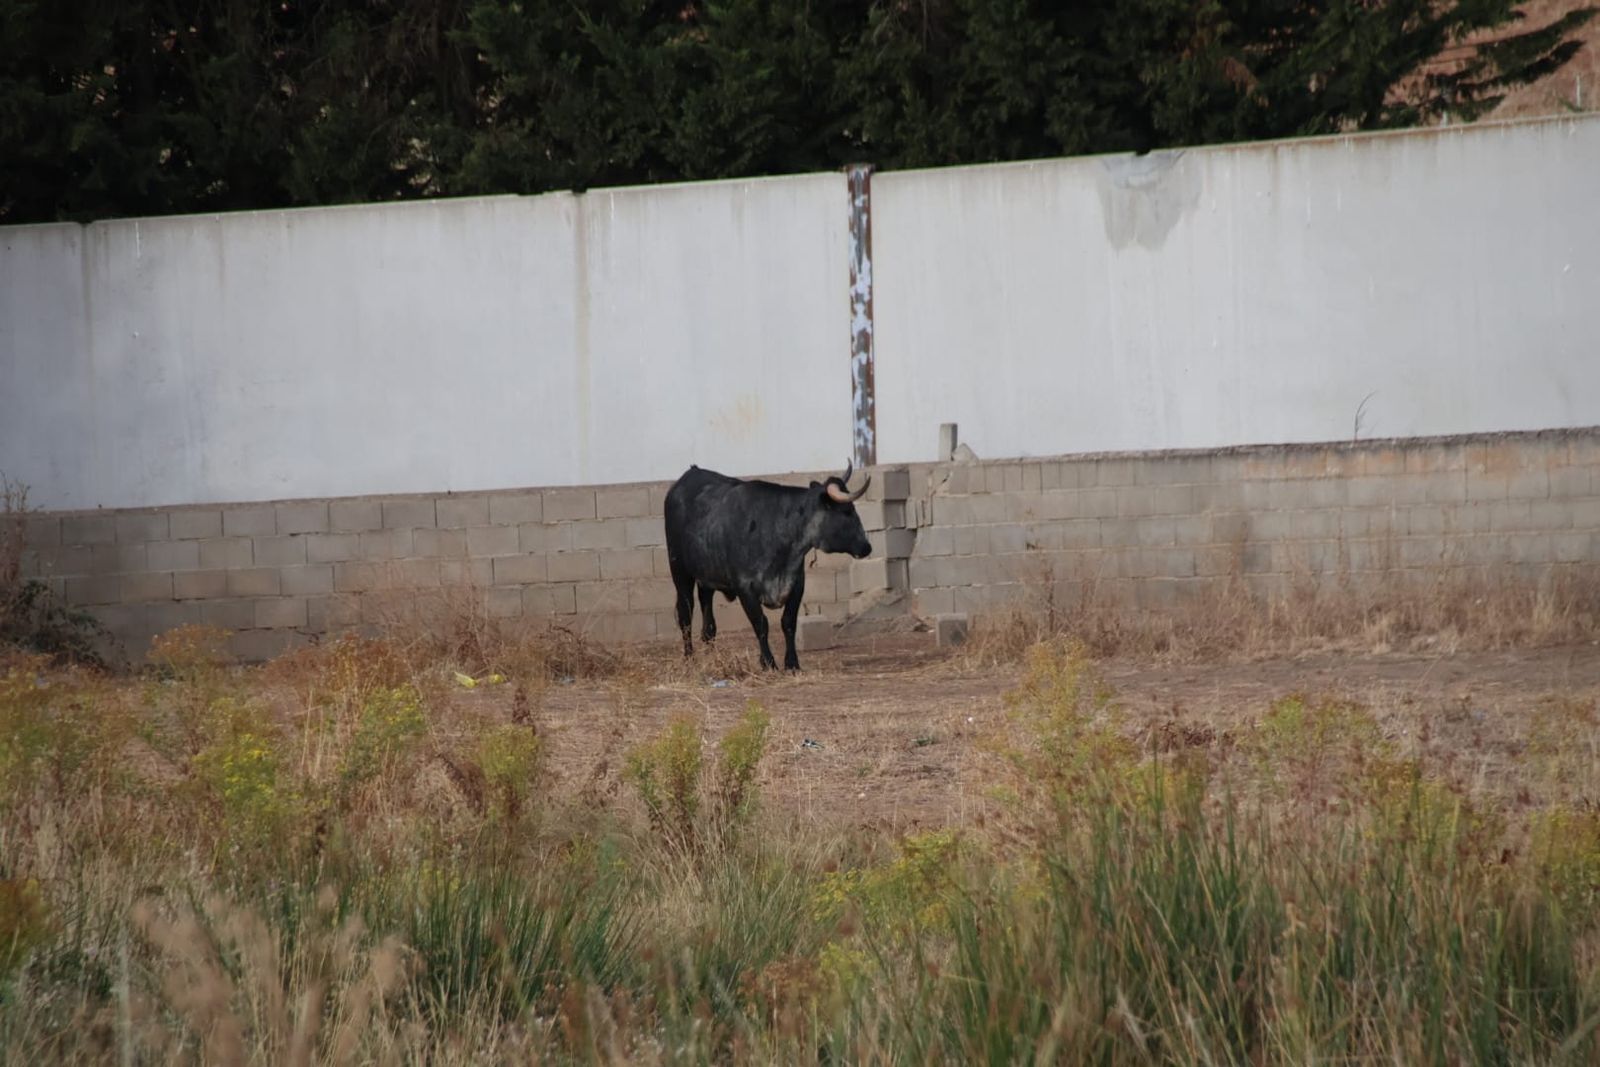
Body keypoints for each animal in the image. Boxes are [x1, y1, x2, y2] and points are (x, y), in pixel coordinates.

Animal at [664, 461, 873, 671]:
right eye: (847, 511)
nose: (867, 547)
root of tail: (690, 474)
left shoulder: (797, 583)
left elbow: (788, 622)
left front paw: (792, 663)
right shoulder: (745, 588)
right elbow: (761, 624)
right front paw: (768, 663)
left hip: (706, 578)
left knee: (708, 623)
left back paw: (712, 658)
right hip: (680, 573)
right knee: (685, 615)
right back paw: (690, 659)